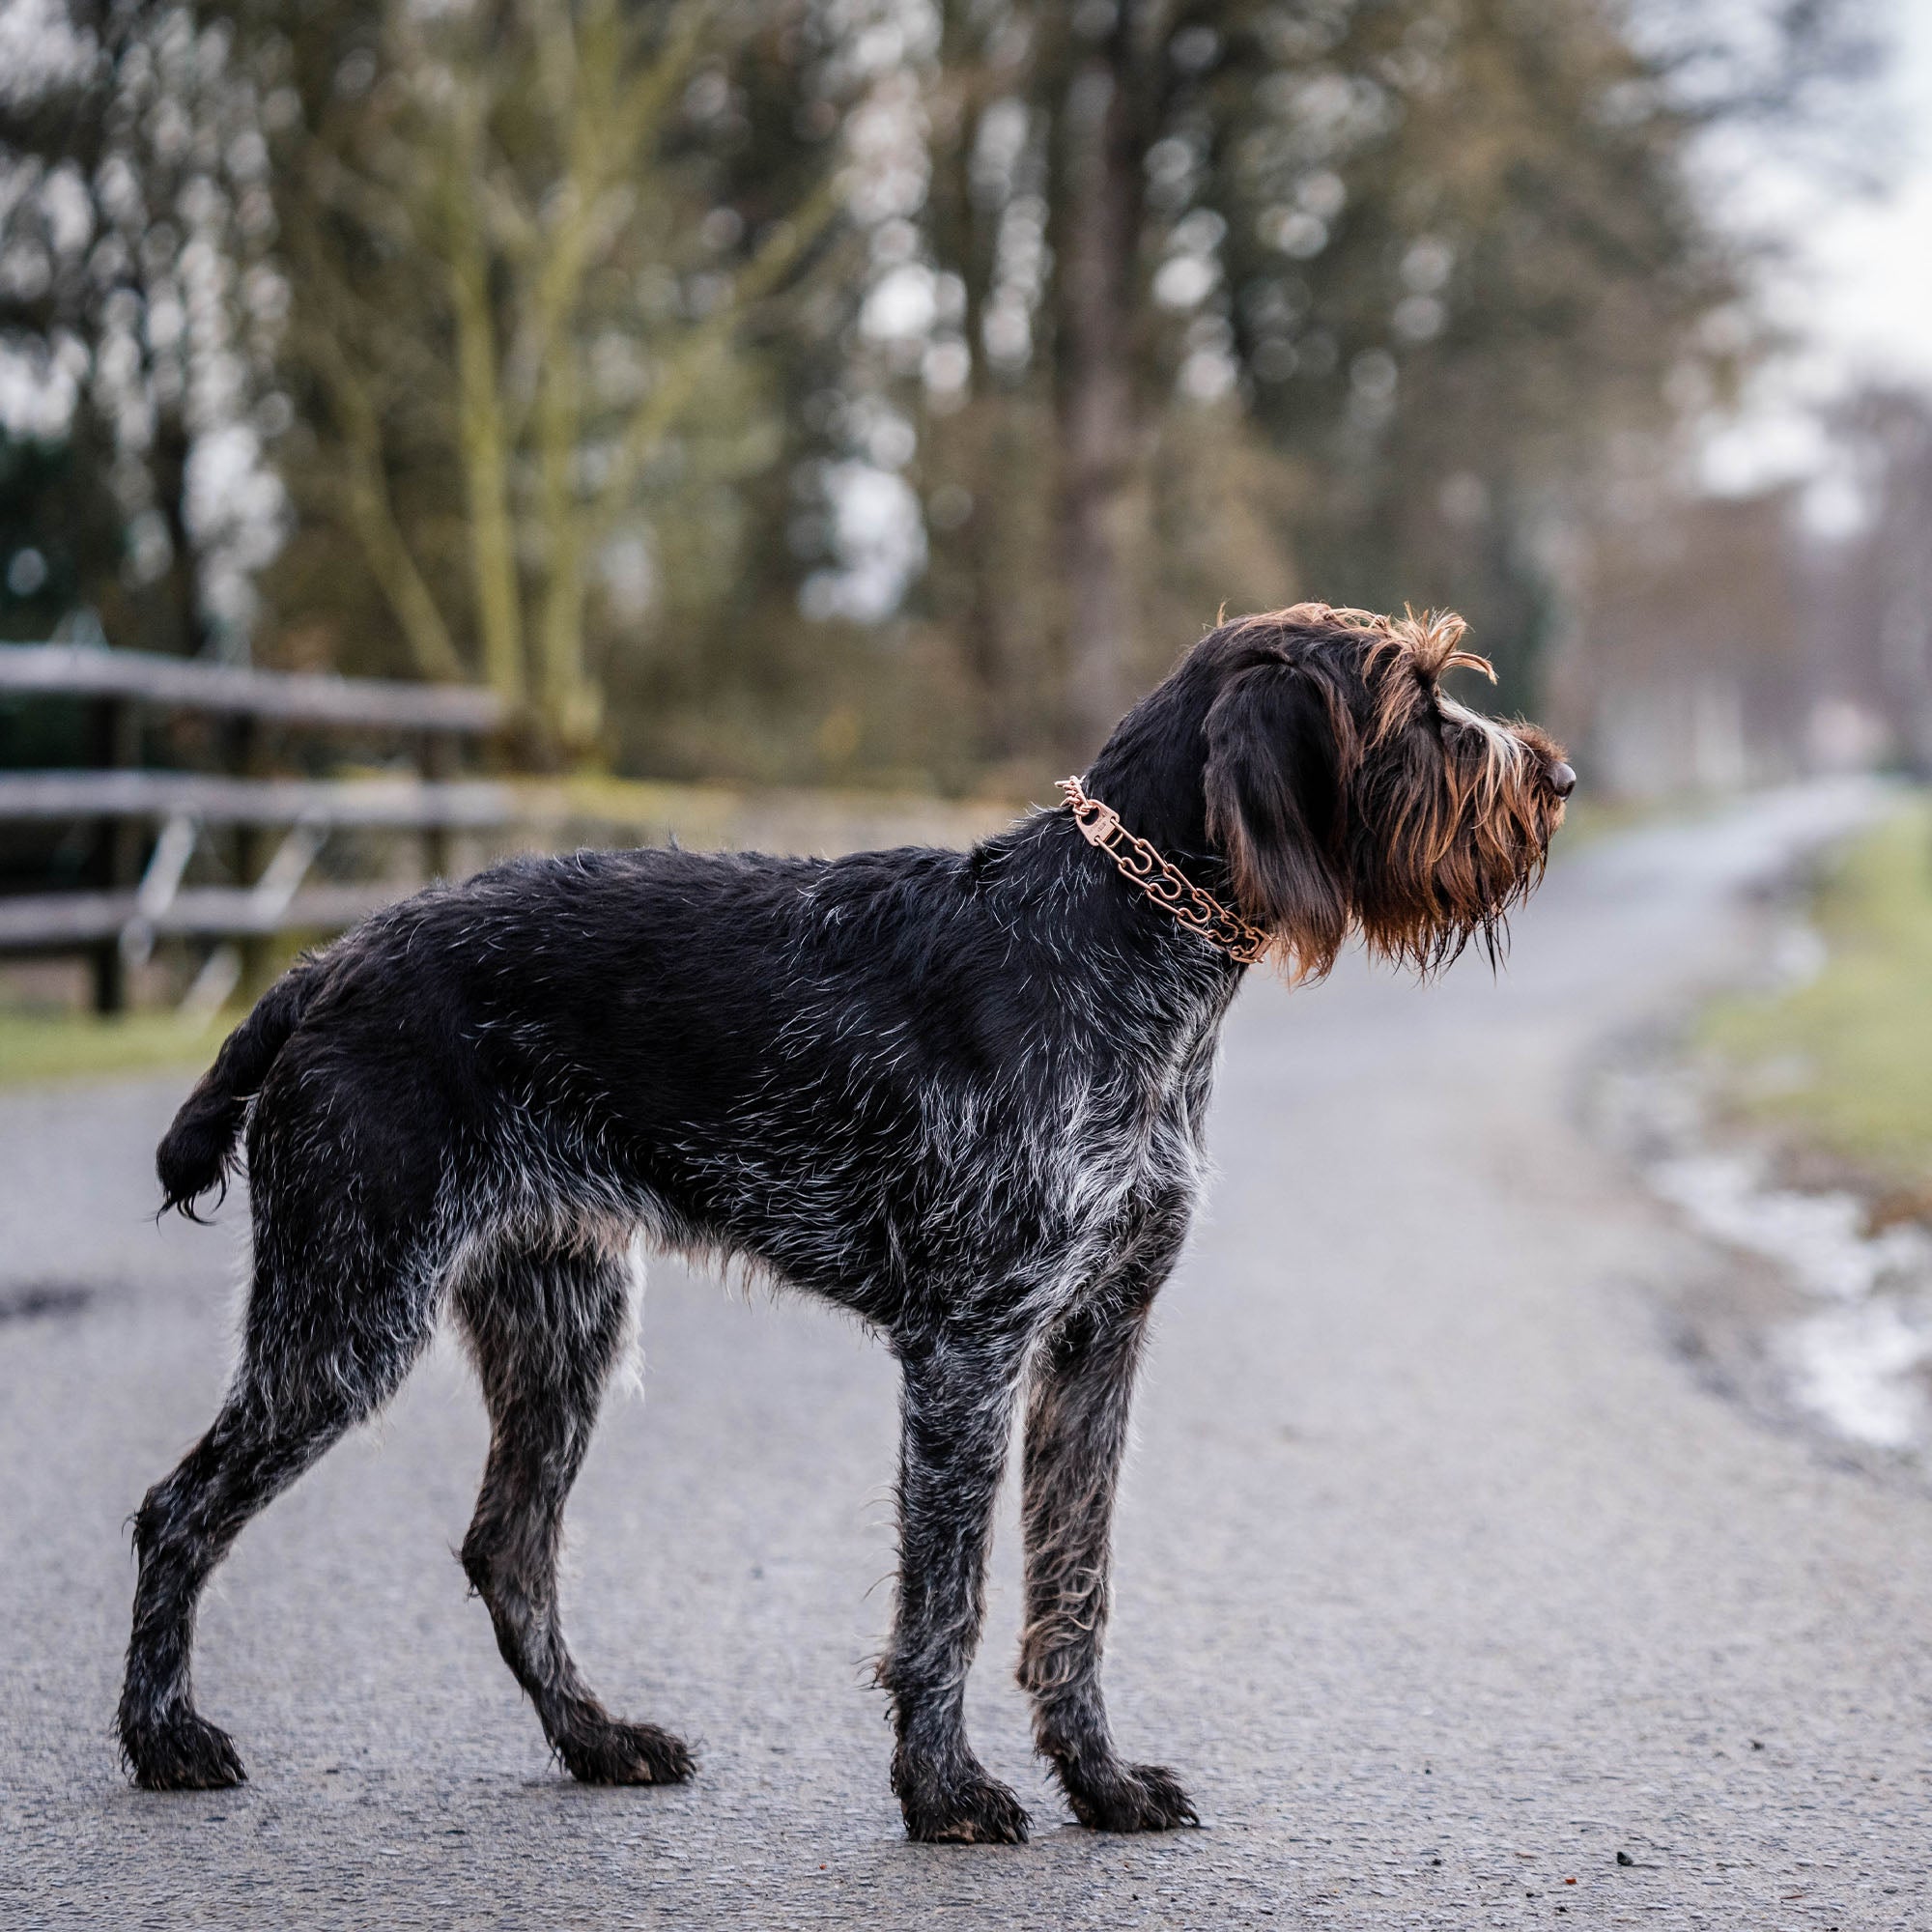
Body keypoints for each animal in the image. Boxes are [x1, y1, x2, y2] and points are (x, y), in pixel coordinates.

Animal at [117, 603, 1569, 1839]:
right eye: (1415, 699)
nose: (1554, 779)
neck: (1121, 946)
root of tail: (329, 962)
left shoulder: (1099, 1335)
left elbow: (1075, 1583)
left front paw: (1097, 1779)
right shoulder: (970, 1345)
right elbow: (949, 1596)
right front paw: (945, 1792)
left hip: (562, 1322)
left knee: (508, 1552)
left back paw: (596, 1739)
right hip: (347, 1314)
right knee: (177, 1510)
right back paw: (162, 1737)